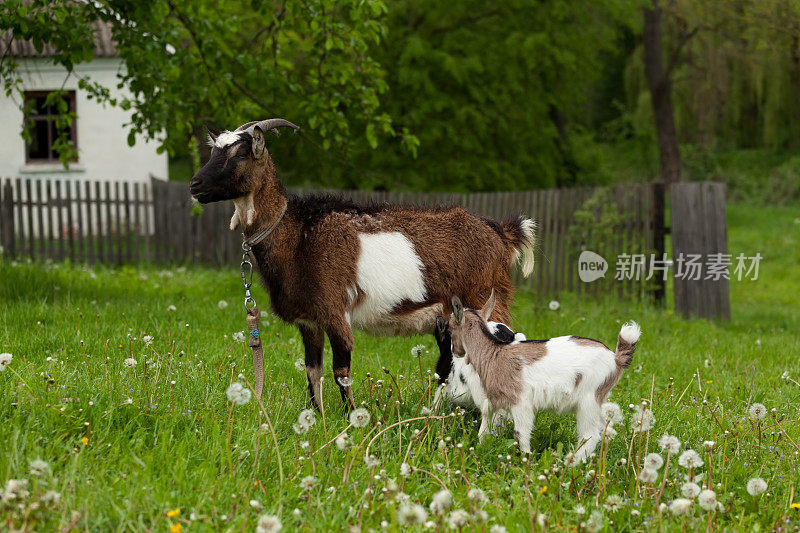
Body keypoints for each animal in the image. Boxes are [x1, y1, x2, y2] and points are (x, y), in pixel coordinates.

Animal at [190, 118, 536, 412]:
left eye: (239, 153)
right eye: (214, 150)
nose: (195, 184)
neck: (299, 235)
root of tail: (502, 233)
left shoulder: (334, 311)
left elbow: (341, 370)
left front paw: (349, 419)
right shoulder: (309, 320)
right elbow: (312, 370)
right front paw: (317, 418)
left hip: (486, 299)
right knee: (446, 362)